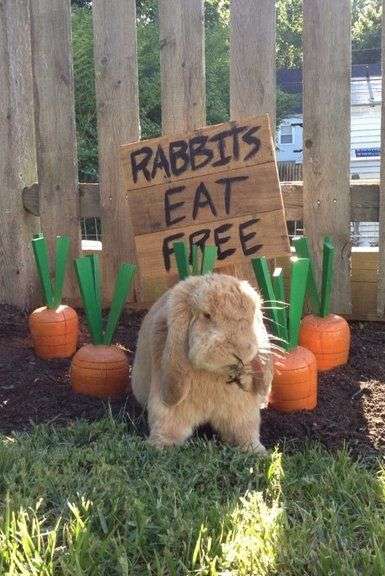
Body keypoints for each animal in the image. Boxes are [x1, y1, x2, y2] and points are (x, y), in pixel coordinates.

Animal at [132, 272, 272, 452]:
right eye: (206, 315)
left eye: (252, 314)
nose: (242, 350)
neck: (214, 374)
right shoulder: (167, 410)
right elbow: (168, 428)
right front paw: (159, 446)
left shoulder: (242, 411)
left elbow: (244, 431)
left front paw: (257, 451)